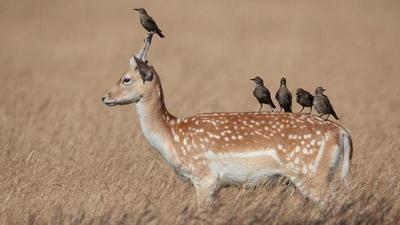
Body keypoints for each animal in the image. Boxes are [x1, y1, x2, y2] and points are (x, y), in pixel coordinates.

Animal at [102, 33, 354, 206]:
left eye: (126, 79)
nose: (105, 97)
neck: (172, 134)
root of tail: (342, 134)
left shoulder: (204, 176)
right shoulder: (215, 185)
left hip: (312, 174)